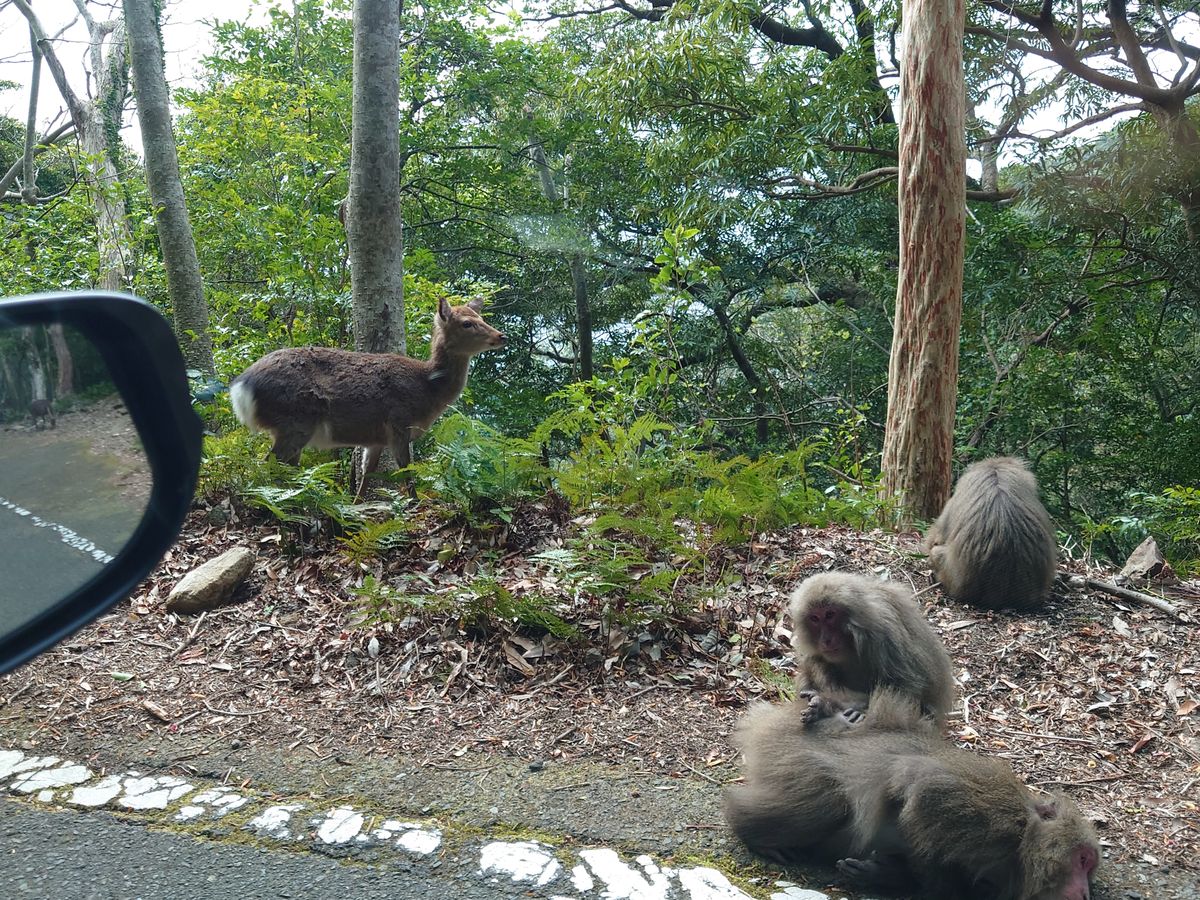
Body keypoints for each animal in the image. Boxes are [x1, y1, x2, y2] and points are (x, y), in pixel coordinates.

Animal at [230, 298, 505, 493]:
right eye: (467, 323)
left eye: (481, 317)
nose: (501, 336)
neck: (427, 388)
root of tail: (240, 388)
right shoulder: (398, 423)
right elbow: (406, 471)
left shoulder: (375, 439)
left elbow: (366, 476)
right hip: (295, 420)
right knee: (270, 463)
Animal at [723, 690, 1100, 900]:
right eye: (1082, 860)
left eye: (1089, 867)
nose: (1084, 894)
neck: (1023, 842)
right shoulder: (994, 816)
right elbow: (923, 789)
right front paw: (909, 877)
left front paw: (887, 874)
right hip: (797, 763)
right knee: (830, 804)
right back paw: (750, 826)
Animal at [789, 572, 955, 729]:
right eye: (815, 618)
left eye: (830, 615)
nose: (826, 639)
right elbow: (812, 662)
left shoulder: (885, 635)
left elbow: (906, 687)